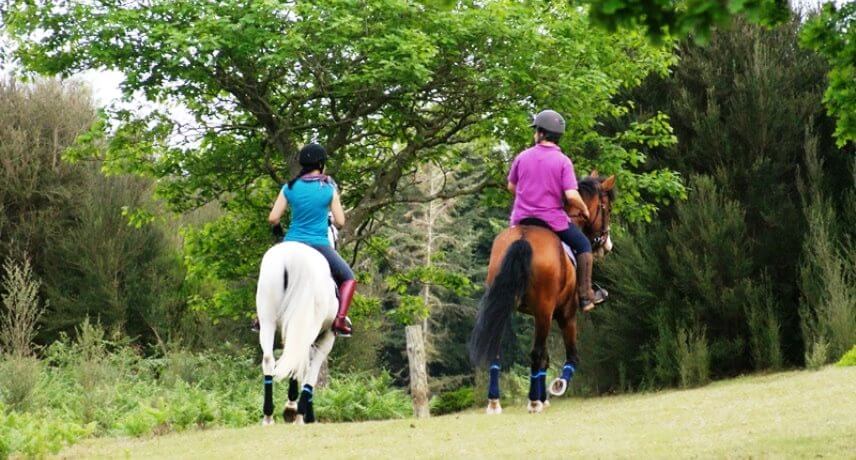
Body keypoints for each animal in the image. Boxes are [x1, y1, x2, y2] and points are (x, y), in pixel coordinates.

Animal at [254, 243, 338, 426]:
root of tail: (295, 256)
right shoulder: (327, 337)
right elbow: (311, 374)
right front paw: (303, 414)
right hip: (309, 326)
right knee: (298, 361)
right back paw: (293, 410)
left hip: (268, 320)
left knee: (269, 359)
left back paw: (268, 416)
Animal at [468, 172, 616, 414]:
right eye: (608, 208)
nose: (607, 244)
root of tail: (523, 238)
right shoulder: (566, 314)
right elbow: (571, 355)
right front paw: (556, 386)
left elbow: (546, 357)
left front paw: (544, 395)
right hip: (545, 311)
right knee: (537, 353)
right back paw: (534, 401)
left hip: (505, 305)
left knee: (498, 351)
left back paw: (495, 401)